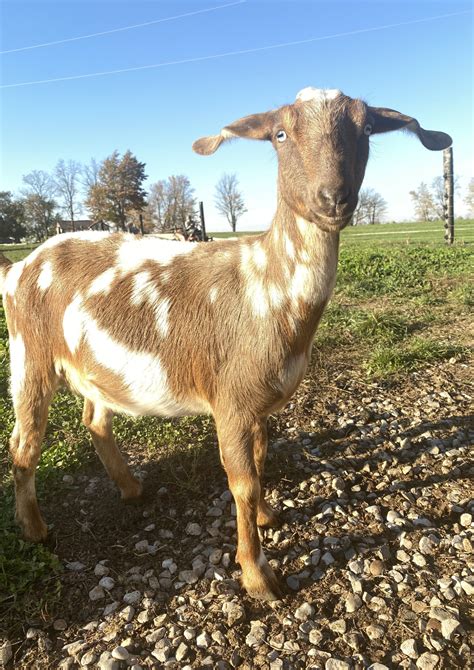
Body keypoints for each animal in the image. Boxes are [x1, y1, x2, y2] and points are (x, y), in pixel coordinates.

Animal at [0, 87, 451, 600]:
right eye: (280, 133)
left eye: (367, 128)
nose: (333, 197)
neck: (267, 286)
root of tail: (17, 268)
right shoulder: (230, 399)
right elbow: (242, 482)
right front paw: (258, 576)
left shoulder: (258, 403)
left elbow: (259, 461)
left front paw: (267, 517)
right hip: (29, 355)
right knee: (24, 443)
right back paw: (36, 530)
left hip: (92, 365)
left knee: (94, 418)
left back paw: (131, 488)